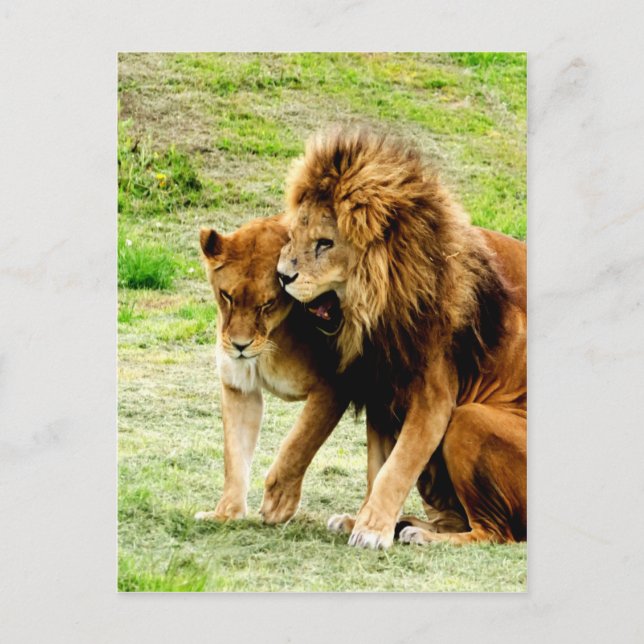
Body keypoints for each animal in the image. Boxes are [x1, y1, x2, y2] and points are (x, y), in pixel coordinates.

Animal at [195, 215, 349, 523]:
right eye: (227, 296)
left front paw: (279, 502)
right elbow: (234, 454)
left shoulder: (334, 385)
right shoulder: (239, 387)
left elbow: (299, 443)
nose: (240, 346)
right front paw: (226, 513)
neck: (270, 341)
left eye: (267, 304)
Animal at [276, 127, 527, 549]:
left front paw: (371, 530)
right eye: (294, 235)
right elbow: (376, 467)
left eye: (325, 243)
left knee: (496, 533)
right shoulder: (382, 389)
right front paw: (363, 520)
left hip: (469, 419)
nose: (281, 276)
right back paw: (410, 524)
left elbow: (397, 467)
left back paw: (422, 536)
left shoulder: (435, 398)